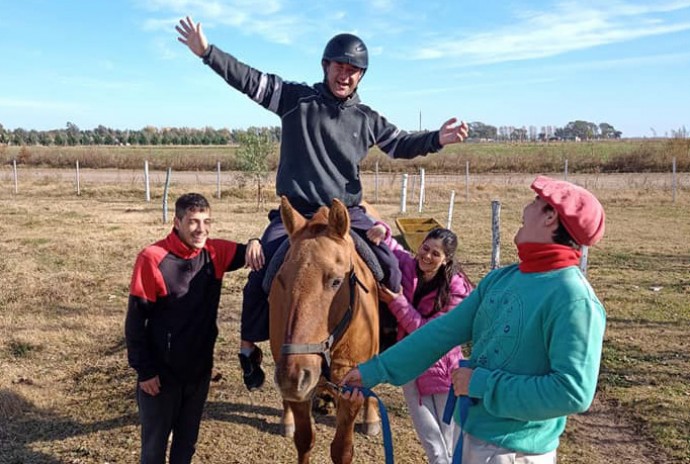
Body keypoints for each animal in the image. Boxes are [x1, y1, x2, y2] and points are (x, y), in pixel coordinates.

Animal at [268, 197, 378, 464]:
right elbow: (304, 439)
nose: (292, 377)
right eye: (281, 280)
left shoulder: (352, 388)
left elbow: (342, 449)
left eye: (336, 281)